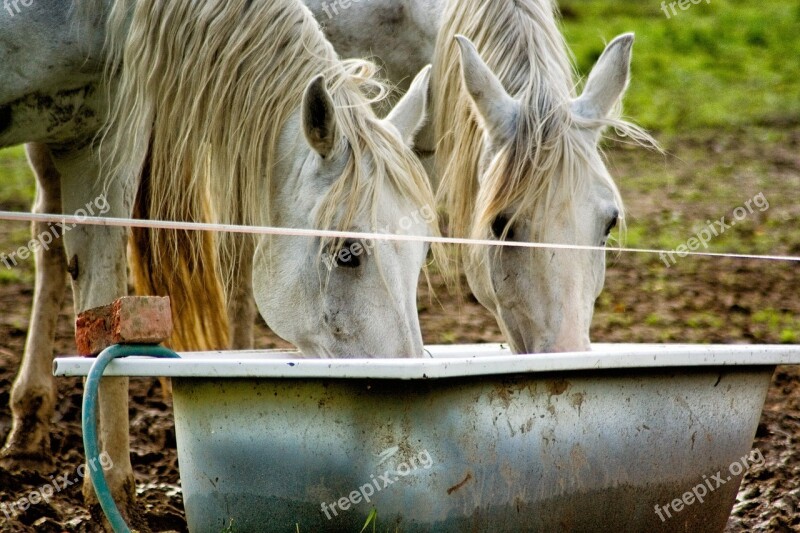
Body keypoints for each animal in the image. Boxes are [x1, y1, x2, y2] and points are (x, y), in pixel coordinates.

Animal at [1, 0, 438, 524]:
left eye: (423, 252)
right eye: (348, 252)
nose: (409, 386)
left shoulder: (94, 137)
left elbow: (103, 311)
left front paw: (112, 499)